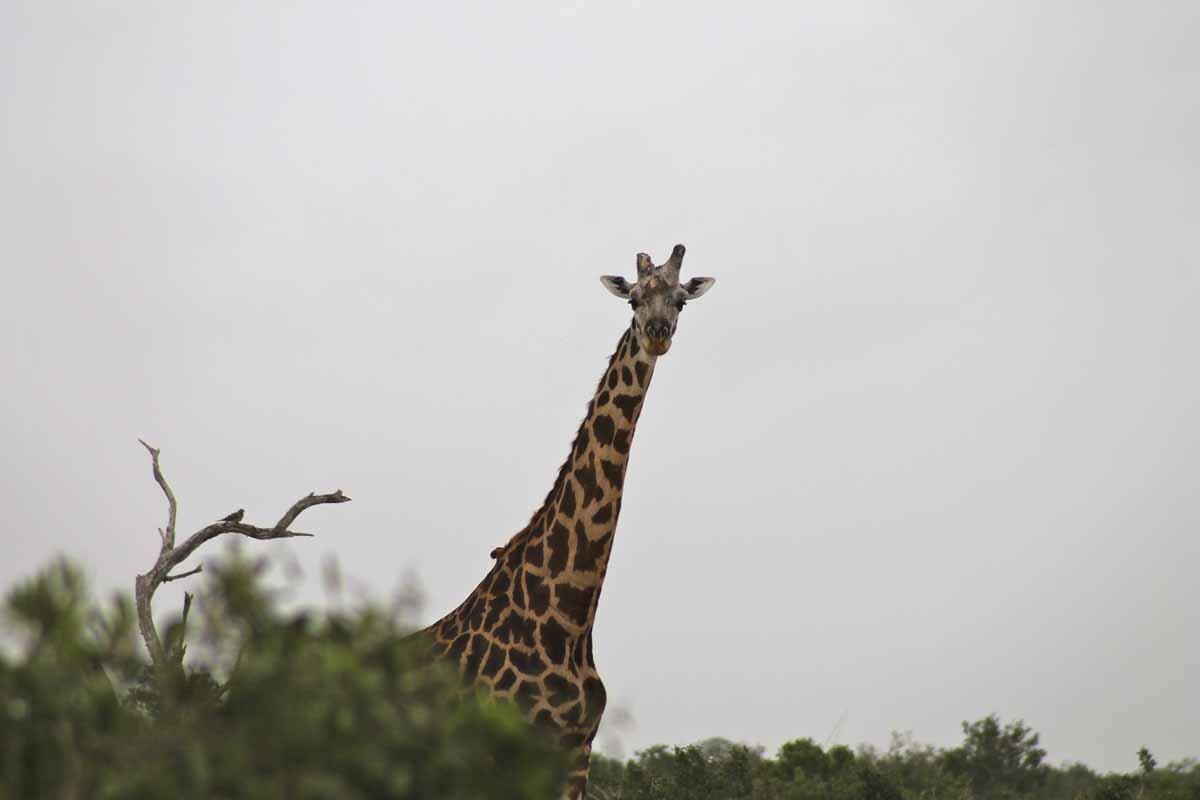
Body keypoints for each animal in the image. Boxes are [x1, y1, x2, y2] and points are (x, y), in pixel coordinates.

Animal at [422, 245, 715, 800]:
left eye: (682, 301)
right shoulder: (494, 756)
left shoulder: (575, 755)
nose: (657, 333)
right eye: (633, 300)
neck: (570, 621)